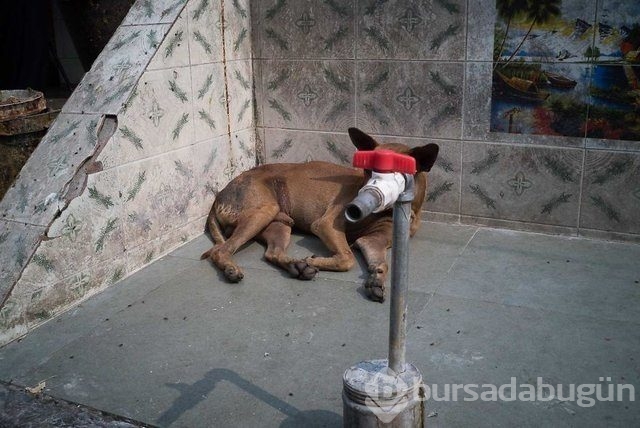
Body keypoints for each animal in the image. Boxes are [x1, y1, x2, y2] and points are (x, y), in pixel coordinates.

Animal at [202, 127, 438, 300]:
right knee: (221, 250)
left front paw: (376, 279)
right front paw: (316, 260)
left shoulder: (374, 241)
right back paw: (232, 269)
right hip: (262, 212)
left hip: (280, 224)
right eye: (367, 170)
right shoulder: (326, 225)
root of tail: (218, 196)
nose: (360, 201)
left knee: (272, 253)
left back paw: (297, 266)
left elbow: (381, 263)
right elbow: (347, 258)